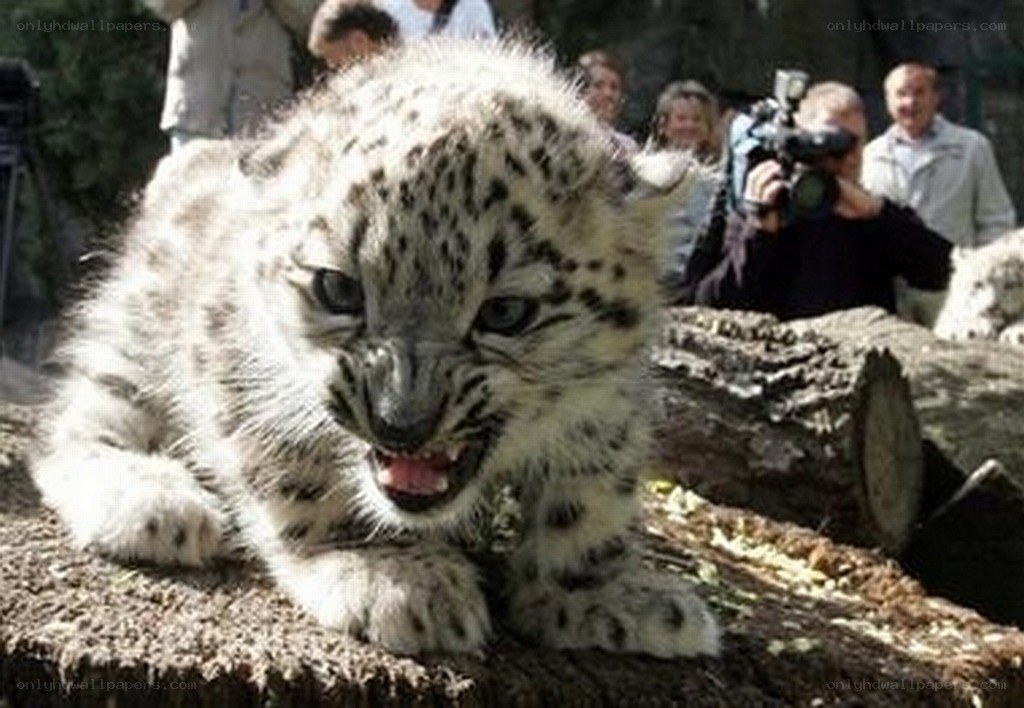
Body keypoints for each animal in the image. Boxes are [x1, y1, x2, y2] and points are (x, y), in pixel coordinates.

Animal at [31, 38, 720, 658]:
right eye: (337, 288)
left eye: (505, 312)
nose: (401, 423)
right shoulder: (234, 362)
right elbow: (297, 474)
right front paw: (392, 572)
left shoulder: (610, 409)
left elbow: (592, 498)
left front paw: (601, 594)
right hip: (134, 335)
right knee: (76, 424)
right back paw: (151, 500)